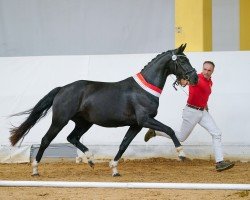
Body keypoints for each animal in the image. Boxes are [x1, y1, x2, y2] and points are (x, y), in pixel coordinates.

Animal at [9, 44, 197, 177]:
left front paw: (114, 169)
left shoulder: (136, 125)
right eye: (182, 61)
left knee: (72, 137)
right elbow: (169, 130)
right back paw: (35, 169)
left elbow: (124, 144)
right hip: (60, 120)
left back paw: (91, 159)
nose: (194, 78)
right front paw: (181, 154)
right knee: (46, 139)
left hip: (84, 123)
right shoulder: (145, 120)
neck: (144, 90)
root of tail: (62, 89)